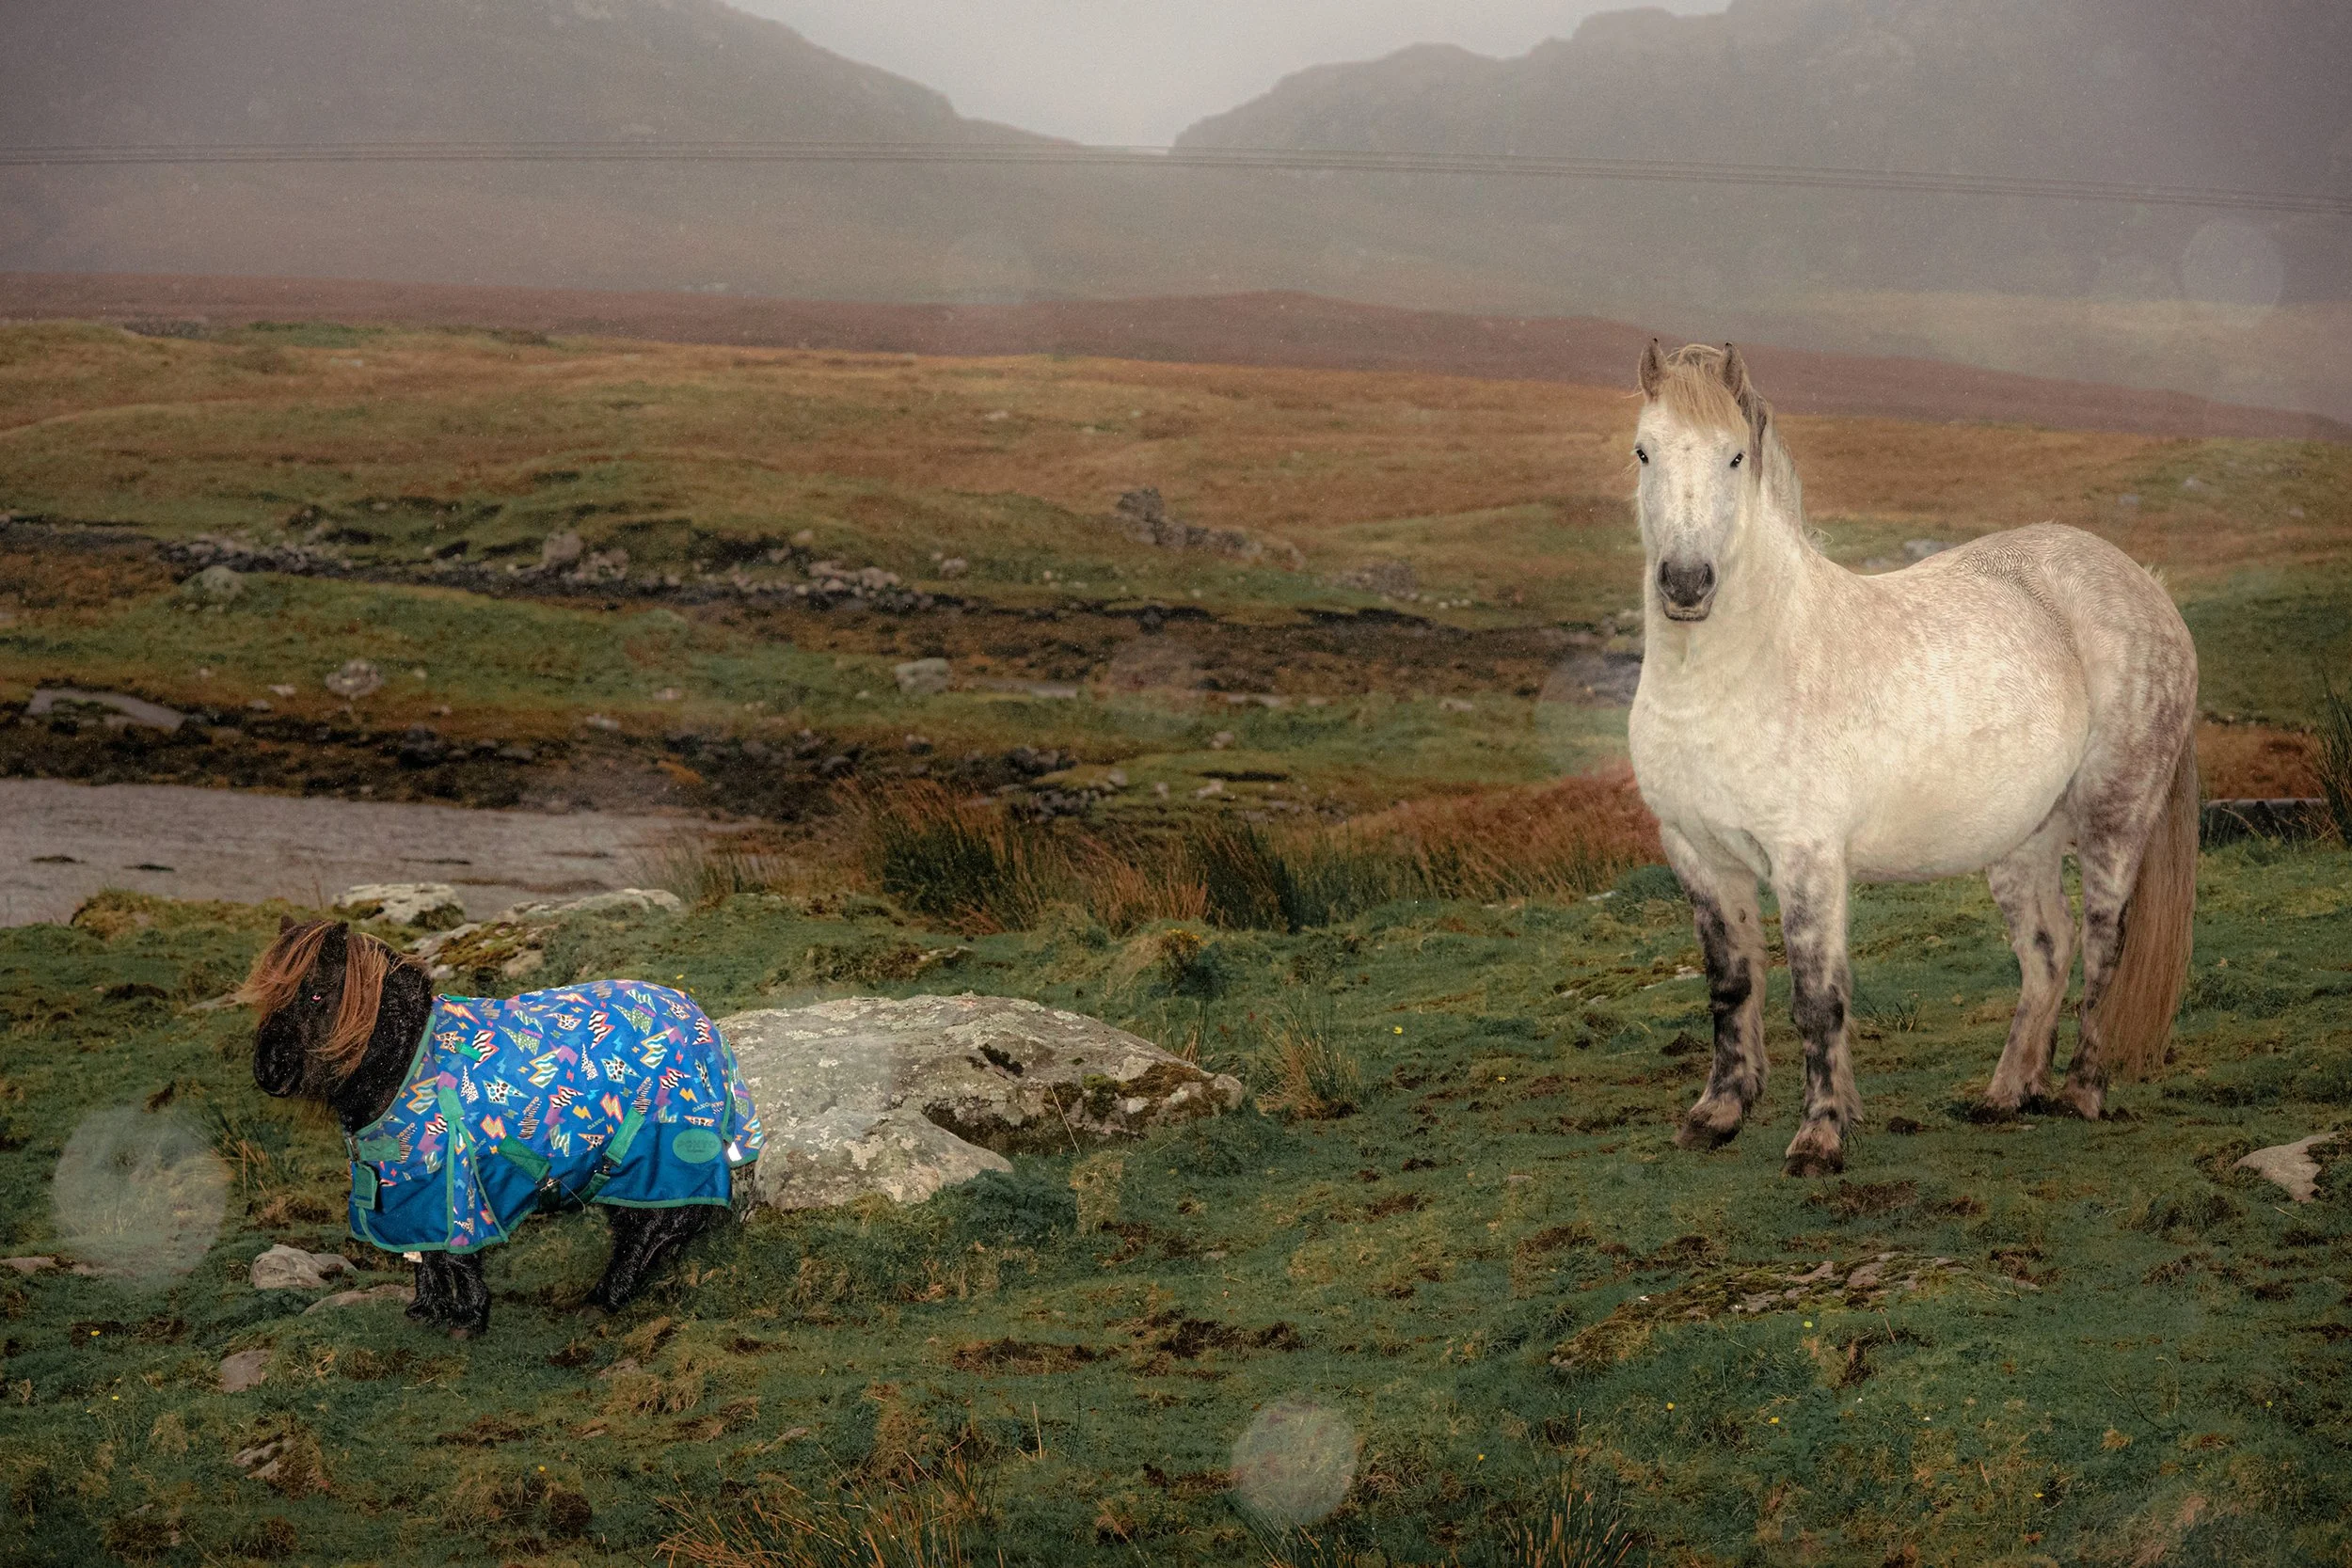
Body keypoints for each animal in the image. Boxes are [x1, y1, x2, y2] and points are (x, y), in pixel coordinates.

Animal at [243, 918, 764, 1337]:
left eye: (316, 993)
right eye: (268, 996)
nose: (269, 1072)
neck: (408, 1059)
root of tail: (703, 1021)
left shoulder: (459, 1181)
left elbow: (457, 1254)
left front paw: (469, 1318)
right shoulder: (411, 1185)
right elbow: (427, 1252)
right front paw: (427, 1310)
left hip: (664, 1152)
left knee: (667, 1221)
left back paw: (608, 1296)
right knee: (645, 1223)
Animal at [1626, 342, 2198, 1175]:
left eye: (1734, 456)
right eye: (1645, 450)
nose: (1687, 582)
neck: (1744, 668)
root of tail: (2145, 586)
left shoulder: (1807, 859)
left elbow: (1817, 997)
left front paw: (1820, 1135)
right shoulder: (1699, 854)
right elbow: (1732, 986)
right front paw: (1719, 1112)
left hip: (2114, 818)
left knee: (2100, 944)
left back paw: (2081, 1091)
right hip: (2021, 841)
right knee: (2046, 951)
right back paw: (2007, 1092)